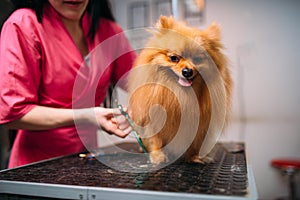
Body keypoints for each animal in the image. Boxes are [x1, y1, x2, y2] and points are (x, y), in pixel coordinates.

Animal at [126, 16, 232, 164]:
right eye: (174, 58)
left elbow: (195, 143)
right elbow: (155, 140)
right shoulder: (153, 119)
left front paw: (195, 157)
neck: (180, 94)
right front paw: (157, 156)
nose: (187, 71)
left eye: (197, 59)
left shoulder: (199, 125)